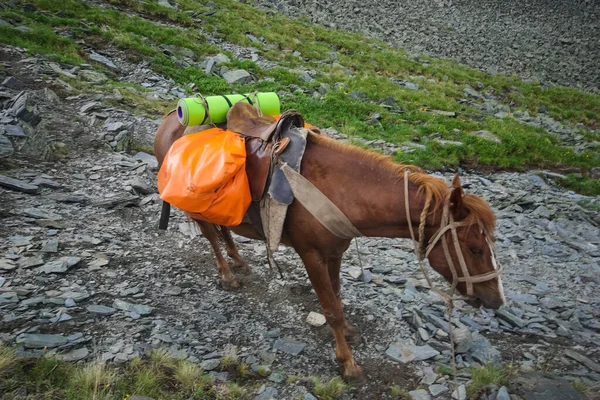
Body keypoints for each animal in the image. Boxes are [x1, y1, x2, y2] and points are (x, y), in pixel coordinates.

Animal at [152, 111, 504, 382]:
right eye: (475, 248)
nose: (496, 300)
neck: (341, 190)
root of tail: (169, 119)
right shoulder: (312, 256)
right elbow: (330, 309)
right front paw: (348, 363)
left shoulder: (335, 252)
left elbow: (337, 296)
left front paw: (348, 331)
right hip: (195, 207)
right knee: (210, 235)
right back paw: (227, 274)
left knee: (224, 228)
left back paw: (238, 260)